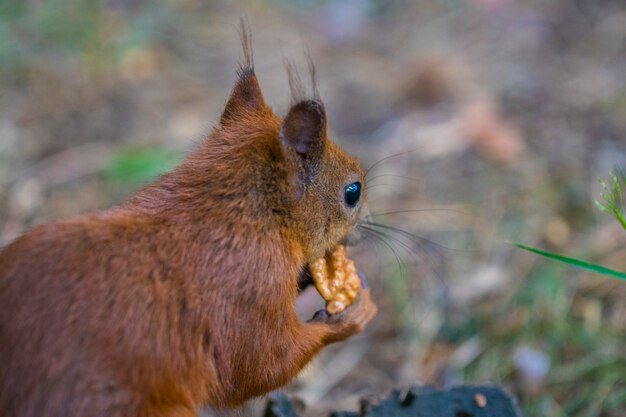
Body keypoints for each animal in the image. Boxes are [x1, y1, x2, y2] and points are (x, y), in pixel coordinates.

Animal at [0, 24, 376, 416]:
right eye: (352, 192)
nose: (369, 222)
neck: (242, 213)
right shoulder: (248, 291)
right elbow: (259, 367)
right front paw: (353, 314)